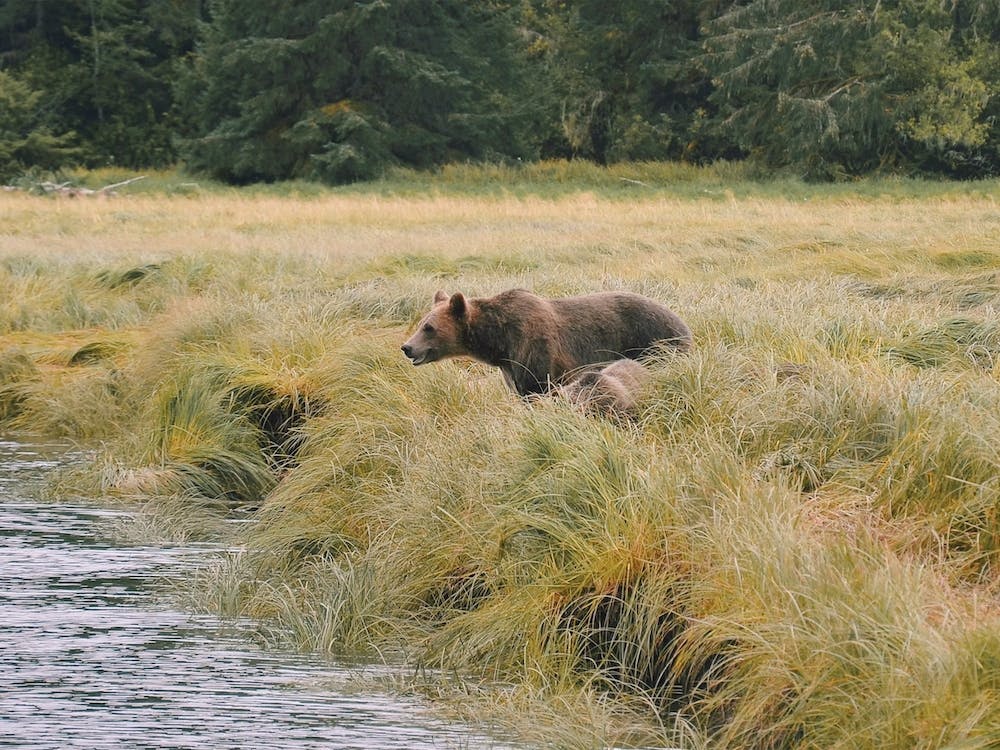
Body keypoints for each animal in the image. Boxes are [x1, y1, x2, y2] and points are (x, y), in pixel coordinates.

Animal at [400, 288, 691, 397]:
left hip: (655, 344)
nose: (407, 347)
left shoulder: (534, 353)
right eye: (421, 323)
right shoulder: (511, 368)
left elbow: (538, 389)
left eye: (429, 328)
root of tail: (684, 324)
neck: (499, 343)